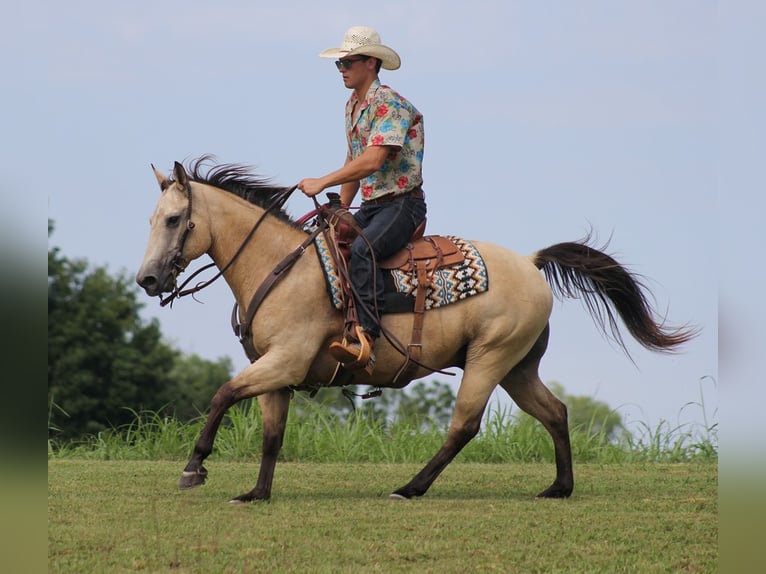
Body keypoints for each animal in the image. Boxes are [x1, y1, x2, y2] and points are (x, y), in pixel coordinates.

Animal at [135, 158, 700, 504]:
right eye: (154, 219)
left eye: (175, 219)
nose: (147, 280)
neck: (280, 266)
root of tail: (529, 262)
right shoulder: (277, 371)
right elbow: (272, 434)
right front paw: (256, 493)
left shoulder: (284, 362)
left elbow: (222, 394)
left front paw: (194, 468)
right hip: (518, 367)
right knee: (555, 412)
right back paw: (559, 487)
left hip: (490, 359)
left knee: (464, 426)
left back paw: (410, 487)